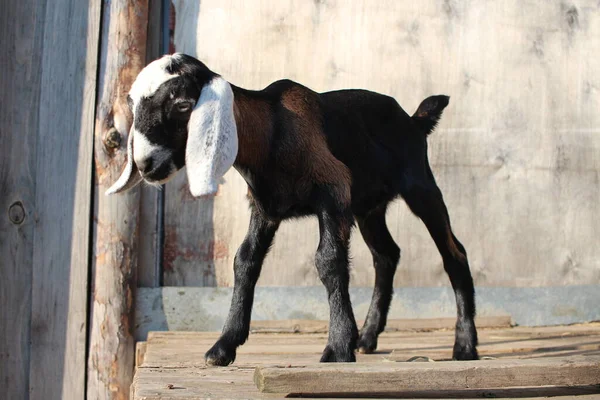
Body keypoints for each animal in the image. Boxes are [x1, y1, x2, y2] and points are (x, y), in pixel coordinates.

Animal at [108, 53, 478, 366]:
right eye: (133, 104)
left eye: (183, 104)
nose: (145, 164)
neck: (272, 129)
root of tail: (415, 121)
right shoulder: (264, 208)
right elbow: (245, 261)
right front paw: (223, 346)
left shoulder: (333, 191)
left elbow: (328, 261)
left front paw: (338, 347)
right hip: (368, 208)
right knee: (386, 254)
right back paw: (368, 337)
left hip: (420, 185)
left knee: (454, 252)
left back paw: (464, 345)